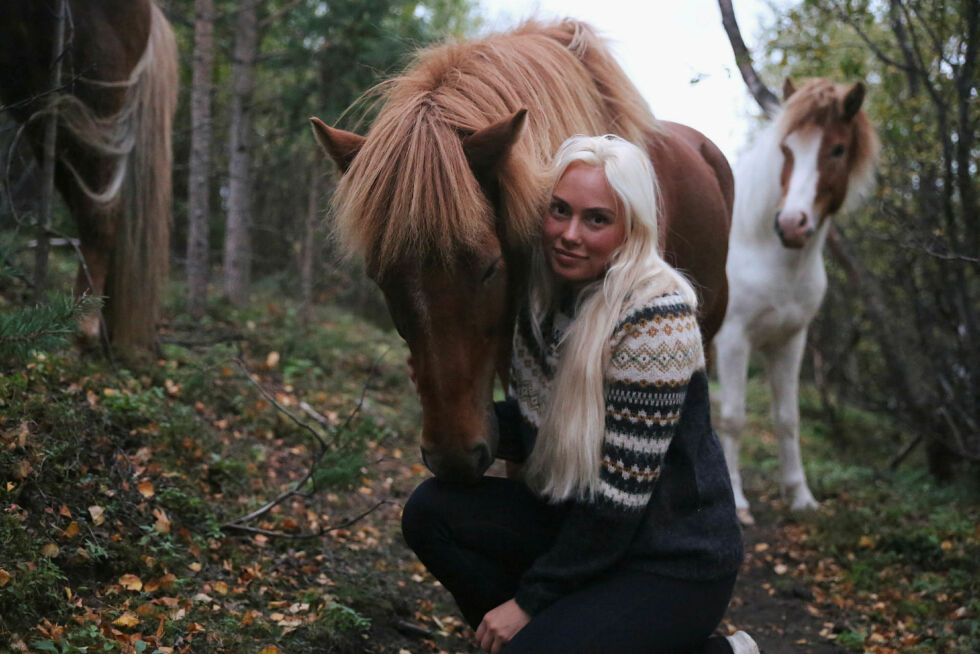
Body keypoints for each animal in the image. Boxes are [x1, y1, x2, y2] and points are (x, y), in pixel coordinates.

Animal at [712, 77, 880, 524]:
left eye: (837, 149)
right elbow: (733, 417)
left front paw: (800, 496)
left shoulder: (790, 340)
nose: (791, 225)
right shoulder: (733, 341)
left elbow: (788, 418)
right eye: (786, 150)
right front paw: (737, 502)